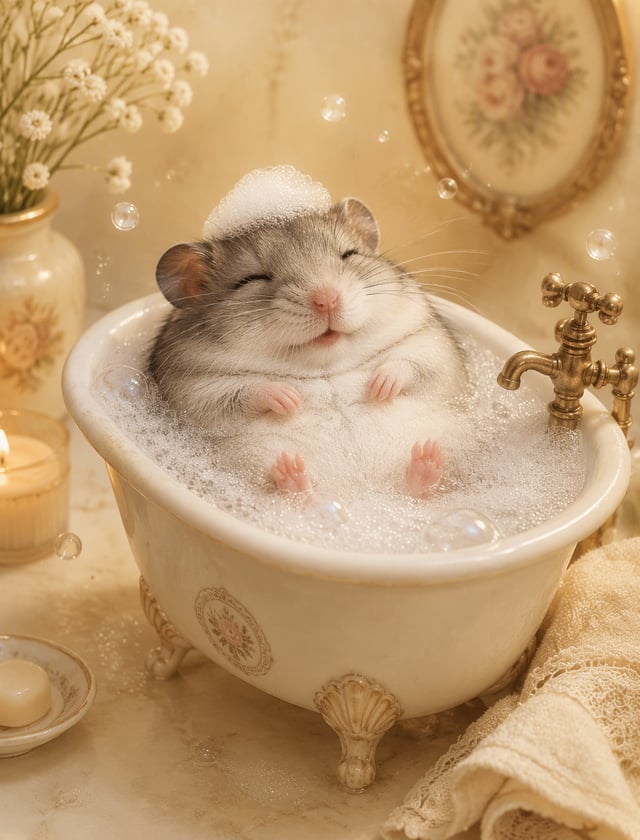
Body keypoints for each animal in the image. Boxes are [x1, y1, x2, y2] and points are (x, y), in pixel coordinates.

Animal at [148, 196, 469, 499]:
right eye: (252, 279)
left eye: (348, 254)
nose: (327, 299)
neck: (326, 365)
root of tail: (354, 496)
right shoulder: (193, 387)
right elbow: (244, 390)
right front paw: (290, 399)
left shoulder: (429, 341)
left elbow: (410, 364)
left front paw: (380, 386)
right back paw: (291, 475)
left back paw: (428, 461)